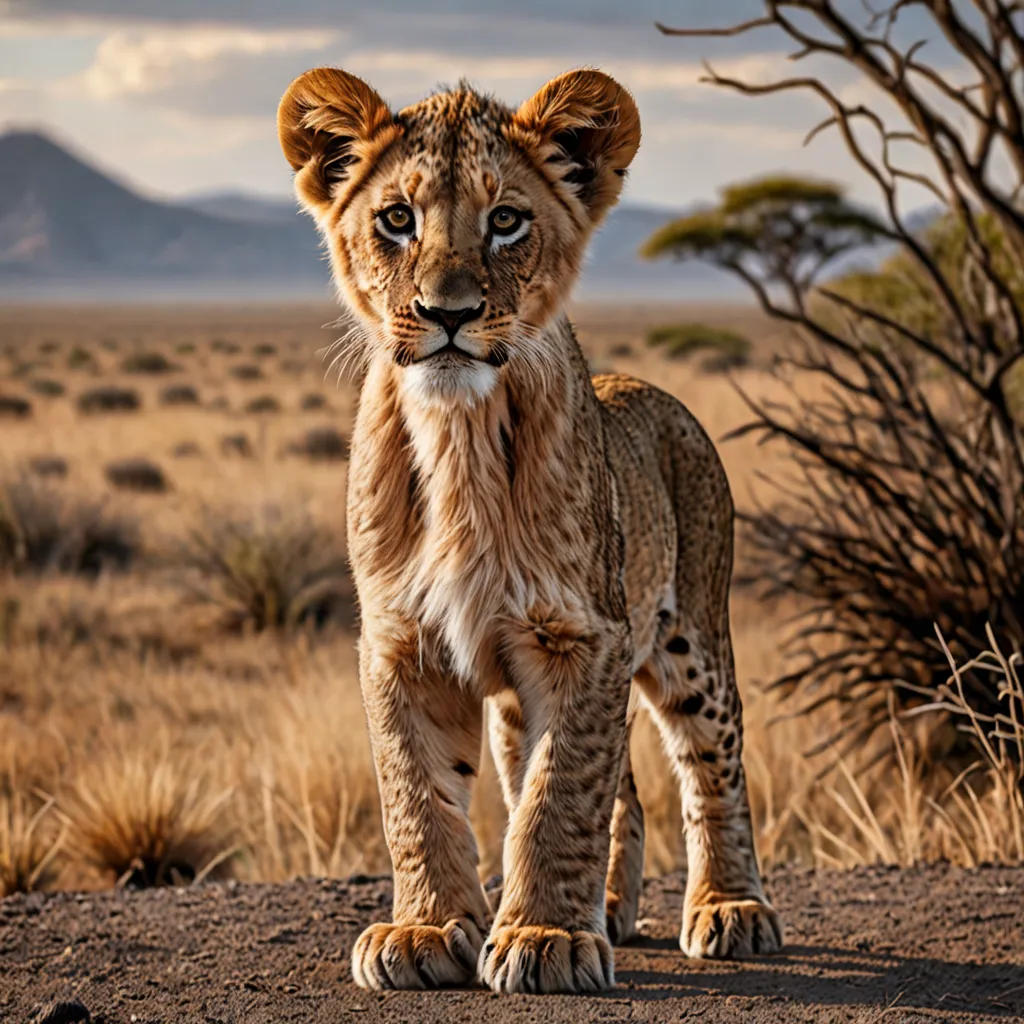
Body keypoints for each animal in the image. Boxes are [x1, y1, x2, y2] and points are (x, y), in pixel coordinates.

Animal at [277, 66, 782, 994]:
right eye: (396, 218)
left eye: (506, 219)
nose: (447, 312)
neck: (458, 433)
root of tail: (651, 389)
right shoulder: (399, 640)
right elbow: (418, 792)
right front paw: (427, 928)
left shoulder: (584, 637)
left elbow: (560, 795)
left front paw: (544, 937)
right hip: (528, 694)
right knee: (616, 790)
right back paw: (610, 909)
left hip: (691, 636)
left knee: (713, 767)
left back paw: (731, 909)